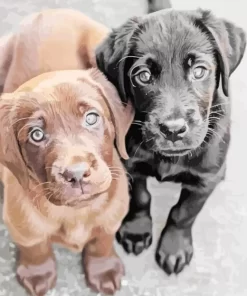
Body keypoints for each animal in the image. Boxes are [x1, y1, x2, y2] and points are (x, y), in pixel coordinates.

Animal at [0, 68, 133, 294]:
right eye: (36, 134)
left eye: (91, 118)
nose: (77, 173)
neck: (75, 212)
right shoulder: (20, 222)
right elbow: (34, 247)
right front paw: (38, 273)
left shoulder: (114, 212)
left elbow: (103, 240)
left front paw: (103, 269)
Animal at [95, 8, 246, 276]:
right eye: (143, 76)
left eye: (199, 71)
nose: (173, 130)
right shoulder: (130, 166)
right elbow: (140, 197)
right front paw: (136, 231)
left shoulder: (205, 180)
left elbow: (183, 213)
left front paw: (174, 248)